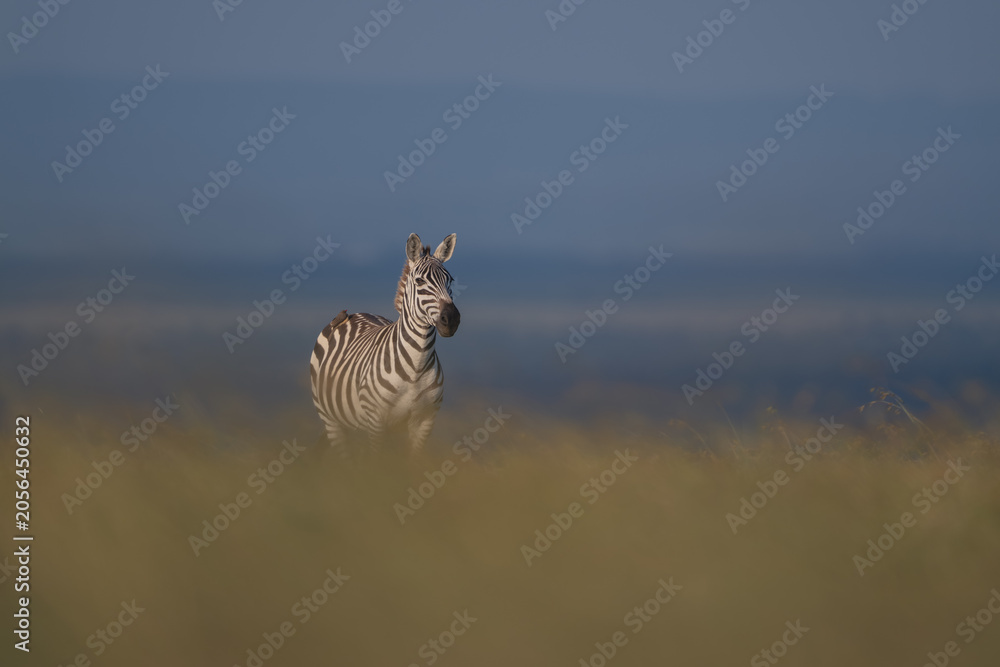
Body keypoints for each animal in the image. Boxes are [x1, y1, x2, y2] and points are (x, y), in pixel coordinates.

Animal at [310, 233, 460, 454]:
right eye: (419, 280)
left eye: (450, 279)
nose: (451, 319)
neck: (416, 367)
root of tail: (355, 313)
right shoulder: (376, 420)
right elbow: (377, 461)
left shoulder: (425, 420)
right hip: (330, 419)